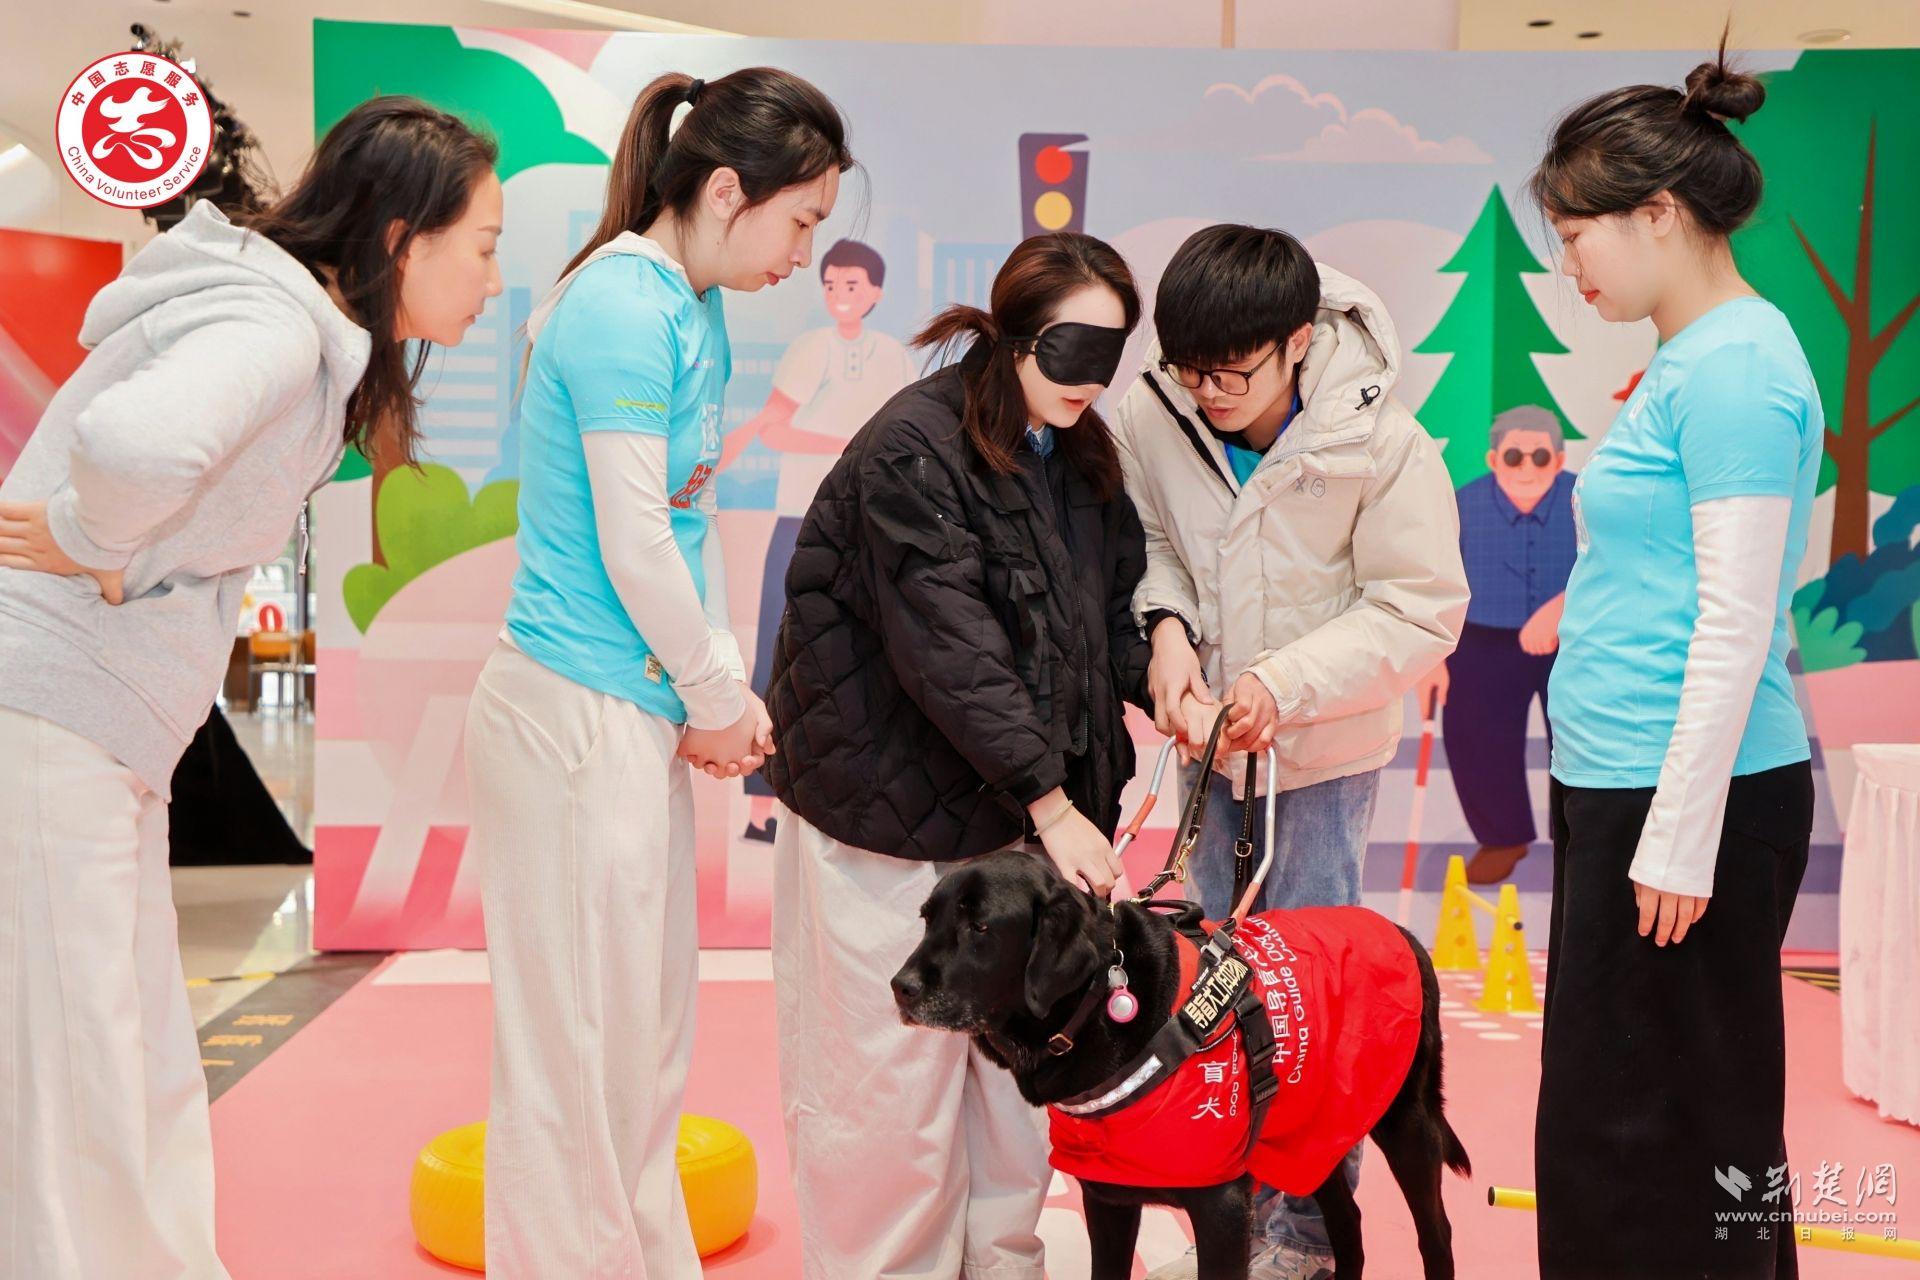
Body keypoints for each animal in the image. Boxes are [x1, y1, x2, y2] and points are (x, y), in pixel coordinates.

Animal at [892, 850, 1470, 1280]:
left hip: (1406, 1121)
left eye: (980, 926)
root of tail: (1404, 933)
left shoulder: (1223, 1209)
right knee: (1348, 1222)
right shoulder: (1106, 1200)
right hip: (1307, 1132)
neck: (1100, 1004)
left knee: (1436, 1233)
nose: (901, 987)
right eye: (927, 918)